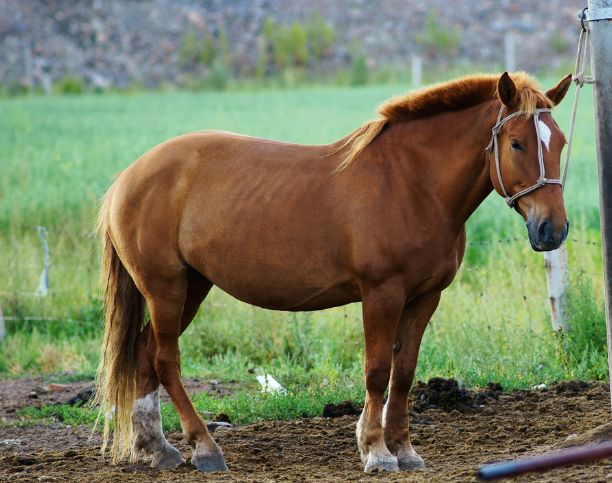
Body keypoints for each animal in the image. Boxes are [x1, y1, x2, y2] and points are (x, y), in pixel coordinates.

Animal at [93, 72, 572, 472]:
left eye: (562, 143)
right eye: (516, 143)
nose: (552, 229)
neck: (412, 184)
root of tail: (127, 177)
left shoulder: (424, 298)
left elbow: (405, 372)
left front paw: (404, 450)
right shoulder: (381, 294)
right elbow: (377, 370)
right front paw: (376, 451)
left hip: (192, 286)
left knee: (143, 354)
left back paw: (157, 449)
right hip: (166, 288)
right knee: (164, 359)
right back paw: (205, 448)